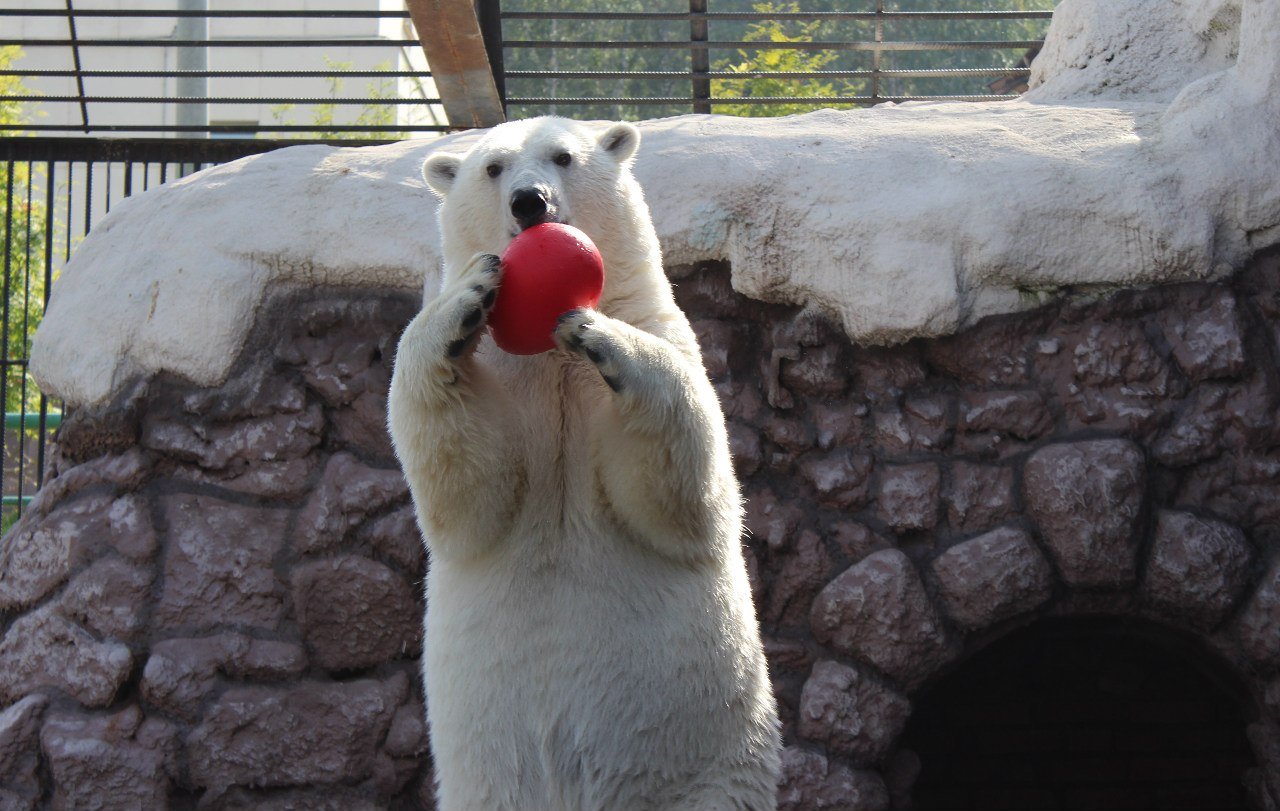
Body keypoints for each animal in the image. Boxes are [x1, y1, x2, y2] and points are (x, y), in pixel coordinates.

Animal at [384, 115, 778, 808]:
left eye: (563, 156)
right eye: (492, 168)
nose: (529, 201)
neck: (548, 361)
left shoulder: (654, 322)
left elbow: (681, 489)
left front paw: (596, 332)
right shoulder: (509, 377)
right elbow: (470, 494)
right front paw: (467, 297)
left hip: (710, 775)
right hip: (483, 790)